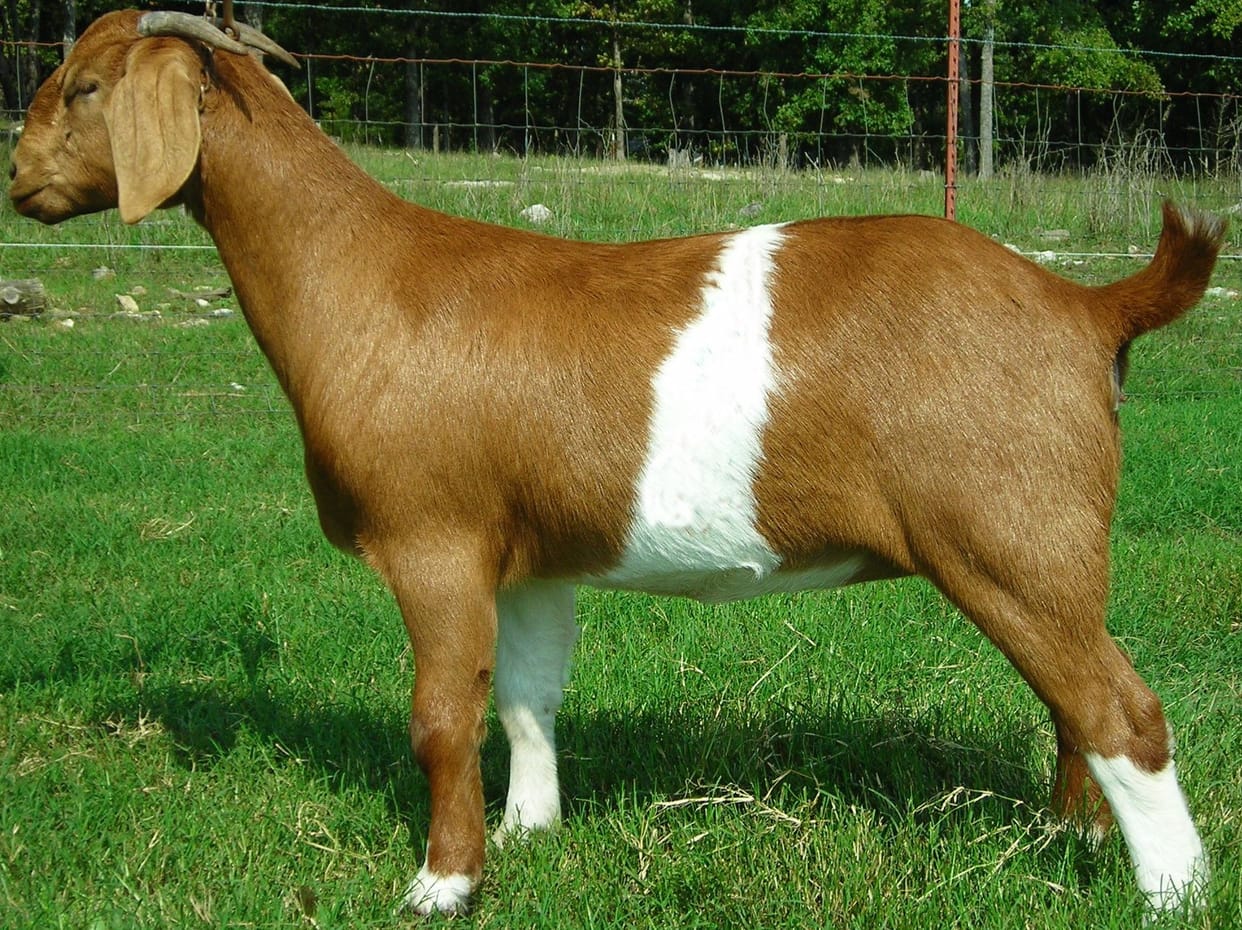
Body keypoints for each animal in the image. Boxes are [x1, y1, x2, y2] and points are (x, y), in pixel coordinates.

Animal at [9, 10, 1224, 916]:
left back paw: (1171, 893)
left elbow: (441, 714)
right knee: (1072, 703)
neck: (363, 277)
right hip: (1039, 552)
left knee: (1121, 711)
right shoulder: (529, 553)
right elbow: (526, 698)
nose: (18, 178)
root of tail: (1086, 305)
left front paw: (442, 885)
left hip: (1007, 533)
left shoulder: (434, 538)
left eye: (84, 88)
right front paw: (530, 833)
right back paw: (1070, 844)